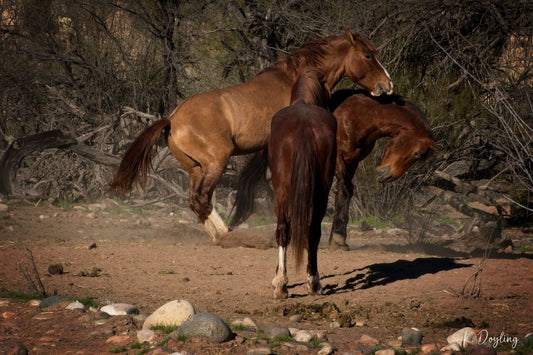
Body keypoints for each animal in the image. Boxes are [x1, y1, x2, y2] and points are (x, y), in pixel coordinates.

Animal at [109, 30, 390, 243]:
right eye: (368, 55)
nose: (387, 84)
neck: (296, 81)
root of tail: (172, 119)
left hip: (195, 168)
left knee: (195, 201)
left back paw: (221, 235)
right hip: (216, 163)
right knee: (202, 199)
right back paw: (230, 237)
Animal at [268, 67, 334, 300]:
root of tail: (305, 127)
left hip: (281, 191)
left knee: (282, 230)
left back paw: (281, 285)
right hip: (322, 190)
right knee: (313, 232)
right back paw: (314, 283)